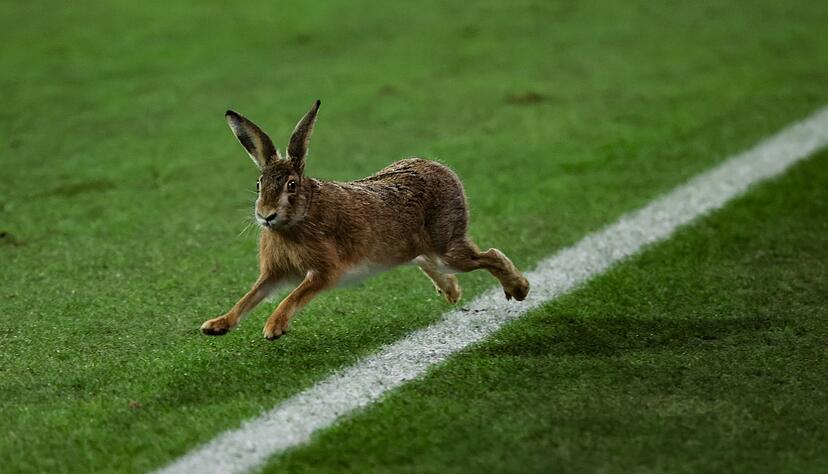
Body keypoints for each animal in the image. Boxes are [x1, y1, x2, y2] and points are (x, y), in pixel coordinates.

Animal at [200, 100, 530, 340]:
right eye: (259, 184)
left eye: (291, 185)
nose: (266, 215)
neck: (300, 217)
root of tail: (442, 169)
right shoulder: (274, 272)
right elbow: (249, 297)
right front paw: (217, 325)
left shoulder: (324, 271)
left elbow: (294, 296)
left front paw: (273, 327)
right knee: (426, 260)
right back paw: (451, 291)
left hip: (447, 244)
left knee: (489, 255)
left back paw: (519, 289)